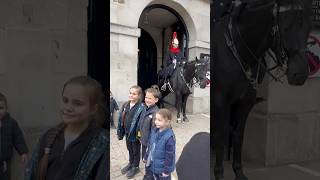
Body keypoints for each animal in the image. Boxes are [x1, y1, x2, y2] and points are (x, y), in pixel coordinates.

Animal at [211, 0, 312, 179]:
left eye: (308, 27)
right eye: (285, 27)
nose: (299, 74)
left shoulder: (245, 101)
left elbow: (238, 133)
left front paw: (239, 172)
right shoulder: (220, 100)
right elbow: (220, 135)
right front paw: (219, 173)